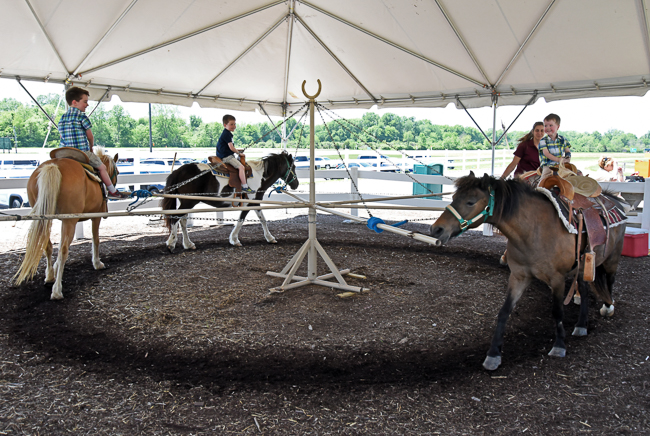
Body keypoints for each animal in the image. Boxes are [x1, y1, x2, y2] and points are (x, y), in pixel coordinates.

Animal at [13, 146, 119, 300]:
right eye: (117, 171)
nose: (114, 189)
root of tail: (54, 165)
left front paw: (55, 268)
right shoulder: (96, 217)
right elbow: (96, 239)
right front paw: (97, 263)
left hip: (45, 218)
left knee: (48, 245)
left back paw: (50, 276)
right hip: (70, 221)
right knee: (63, 250)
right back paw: (57, 290)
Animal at [162, 151, 298, 250]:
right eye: (294, 166)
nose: (296, 184)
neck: (259, 176)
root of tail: (178, 171)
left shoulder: (254, 203)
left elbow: (262, 219)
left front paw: (269, 238)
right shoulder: (249, 204)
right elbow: (242, 220)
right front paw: (235, 239)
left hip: (186, 202)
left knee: (182, 221)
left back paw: (188, 244)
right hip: (188, 202)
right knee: (175, 218)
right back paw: (171, 243)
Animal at [428, 172, 624, 370]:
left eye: (470, 202)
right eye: (453, 197)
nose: (436, 229)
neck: (534, 231)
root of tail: (613, 198)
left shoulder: (557, 279)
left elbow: (557, 311)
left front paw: (559, 345)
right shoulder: (518, 277)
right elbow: (504, 311)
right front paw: (493, 354)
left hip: (612, 260)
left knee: (609, 281)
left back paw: (608, 307)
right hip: (584, 268)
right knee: (584, 289)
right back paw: (582, 325)